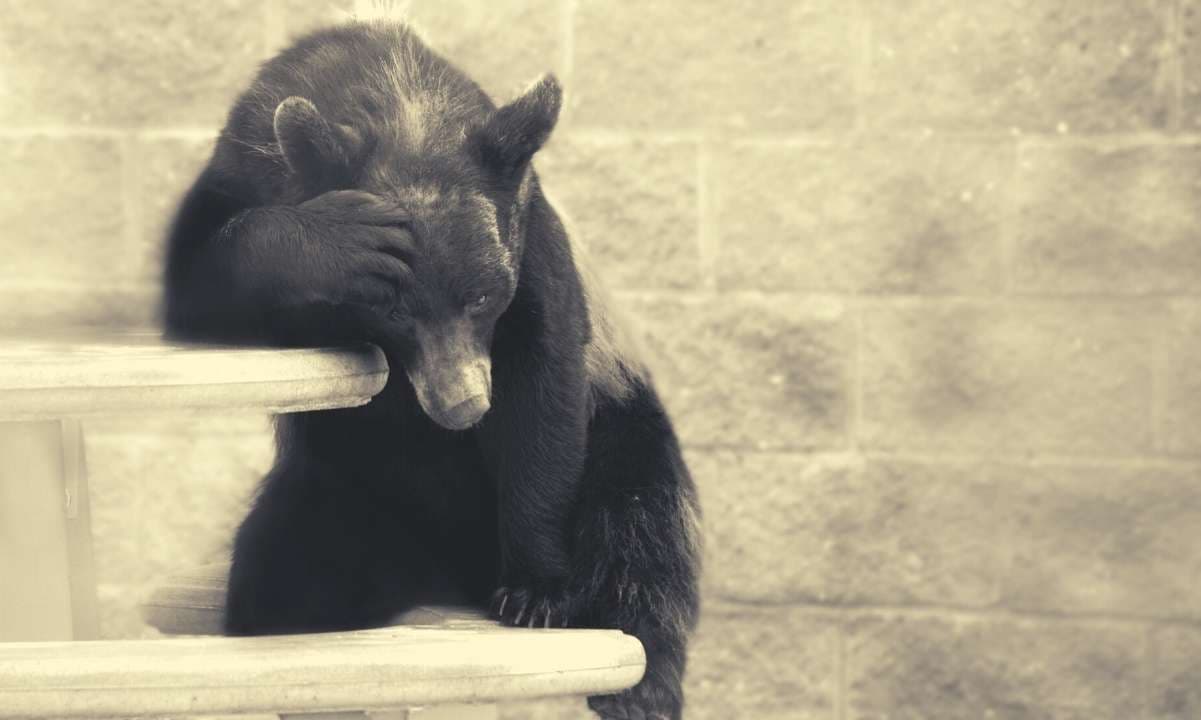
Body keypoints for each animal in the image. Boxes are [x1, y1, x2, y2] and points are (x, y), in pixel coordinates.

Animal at [162, 19, 701, 720]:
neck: (399, 90)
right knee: (290, 566)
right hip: (348, 488)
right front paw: (345, 239)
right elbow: (194, 278)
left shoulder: (533, 243)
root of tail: (448, 573)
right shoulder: (236, 168)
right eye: (395, 312)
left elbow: (543, 388)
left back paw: (641, 683)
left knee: (641, 529)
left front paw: (535, 594)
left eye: (480, 297)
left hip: (623, 427)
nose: (461, 407)